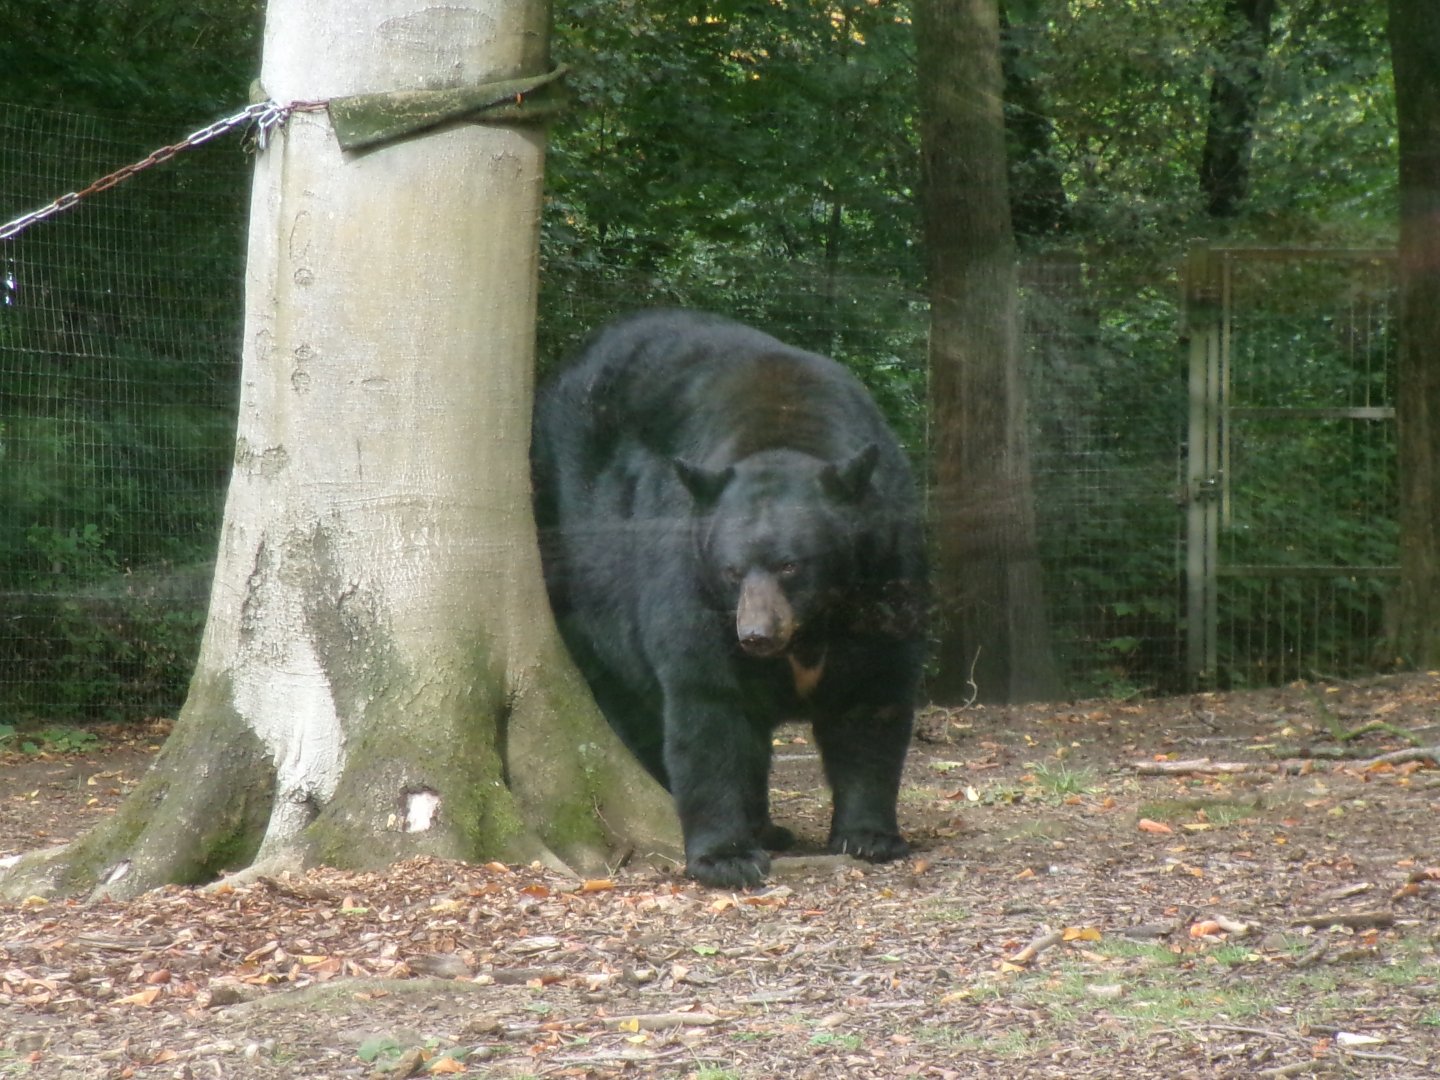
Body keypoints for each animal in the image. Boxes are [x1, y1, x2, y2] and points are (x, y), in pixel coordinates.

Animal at [532, 309, 926, 888]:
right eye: (732, 570)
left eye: (790, 565)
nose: (756, 634)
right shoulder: (691, 580)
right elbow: (710, 706)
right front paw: (725, 858)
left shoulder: (885, 567)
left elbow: (873, 695)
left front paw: (870, 835)